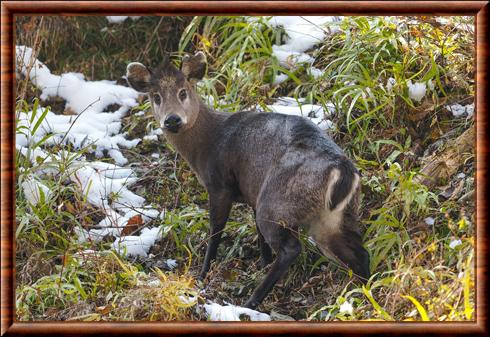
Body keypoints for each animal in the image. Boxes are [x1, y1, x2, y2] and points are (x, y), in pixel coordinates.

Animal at [126, 51, 372, 308]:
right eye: (156, 97)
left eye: (183, 91)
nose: (172, 120)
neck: (207, 144)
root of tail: (342, 169)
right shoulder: (252, 192)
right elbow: (257, 235)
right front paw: (262, 263)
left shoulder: (219, 184)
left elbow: (216, 229)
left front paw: (202, 274)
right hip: (333, 217)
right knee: (359, 251)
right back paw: (364, 291)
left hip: (277, 202)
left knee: (292, 248)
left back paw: (252, 301)